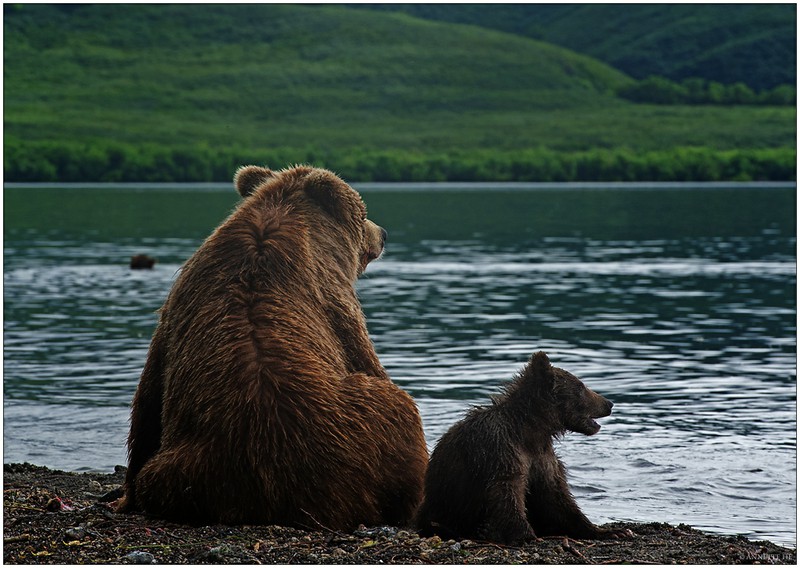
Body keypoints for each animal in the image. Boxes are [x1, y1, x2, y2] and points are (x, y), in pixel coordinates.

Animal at [116, 164, 428, 528]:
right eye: (363, 213)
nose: (383, 233)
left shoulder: (179, 304)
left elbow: (150, 392)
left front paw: (124, 497)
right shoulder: (336, 305)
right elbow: (366, 359)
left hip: (180, 469)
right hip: (357, 433)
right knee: (399, 406)